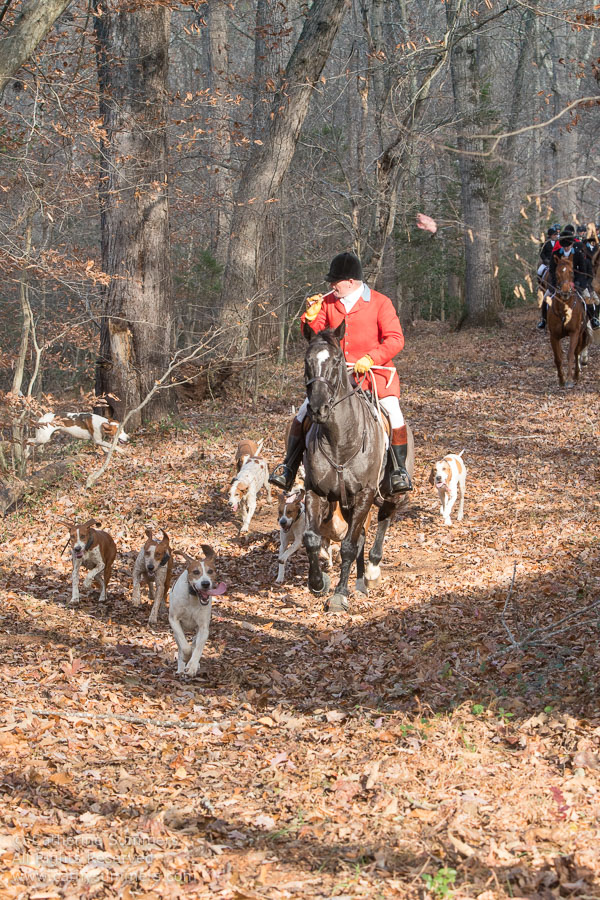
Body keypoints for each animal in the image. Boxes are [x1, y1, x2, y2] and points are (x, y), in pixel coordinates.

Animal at [300, 318, 412, 612]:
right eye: (306, 361)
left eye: (337, 360)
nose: (317, 409)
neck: (340, 438)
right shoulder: (316, 492)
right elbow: (312, 538)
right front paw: (318, 583)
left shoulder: (364, 494)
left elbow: (349, 546)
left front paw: (339, 595)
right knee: (360, 535)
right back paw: (359, 582)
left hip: (389, 493)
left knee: (382, 521)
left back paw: (371, 572)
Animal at [548, 253, 592, 386]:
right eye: (556, 273)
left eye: (572, 272)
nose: (565, 292)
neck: (564, 310)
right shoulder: (554, 336)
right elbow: (557, 358)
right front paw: (561, 379)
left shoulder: (574, 333)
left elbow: (570, 354)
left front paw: (569, 379)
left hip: (581, 334)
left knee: (577, 352)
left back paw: (576, 375)